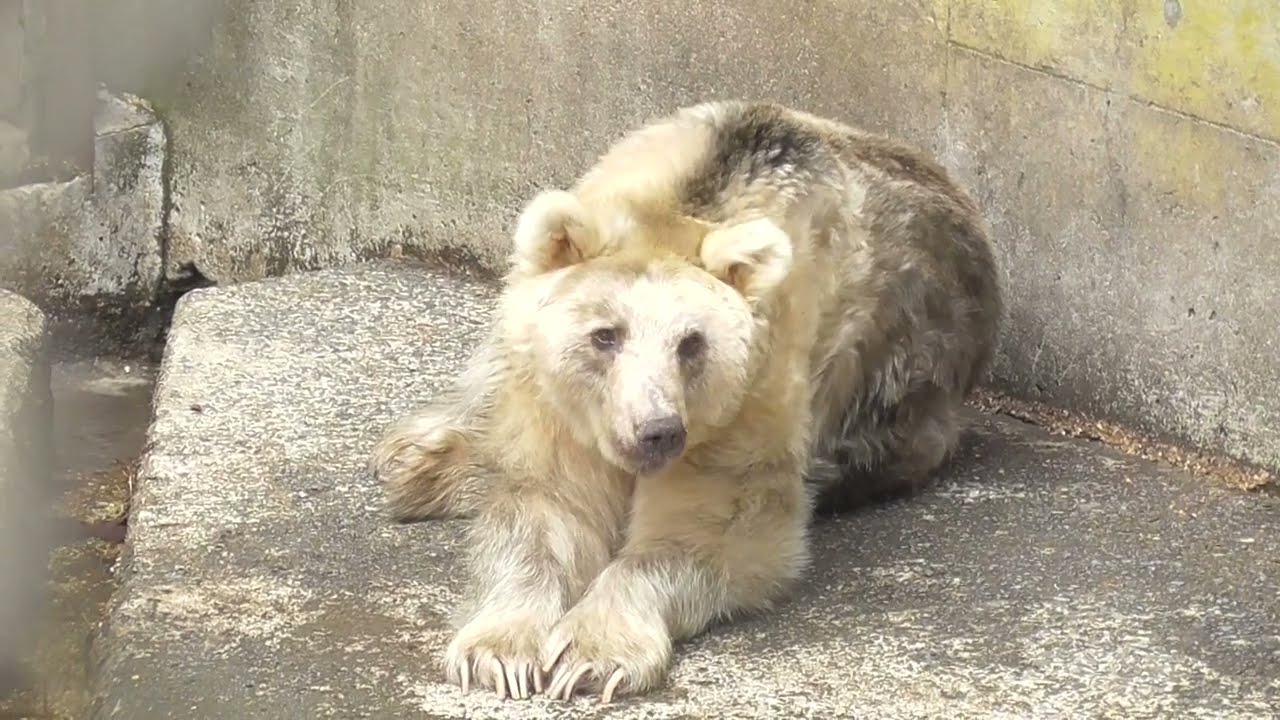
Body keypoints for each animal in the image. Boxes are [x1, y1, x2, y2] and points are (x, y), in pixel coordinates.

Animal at [371, 100, 1003, 703]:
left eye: (691, 342)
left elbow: (712, 527)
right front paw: (501, 652)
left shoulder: (748, 402)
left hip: (910, 400)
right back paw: (422, 463)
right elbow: (543, 510)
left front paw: (589, 656)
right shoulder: (558, 409)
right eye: (606, 335)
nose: (657, 430)